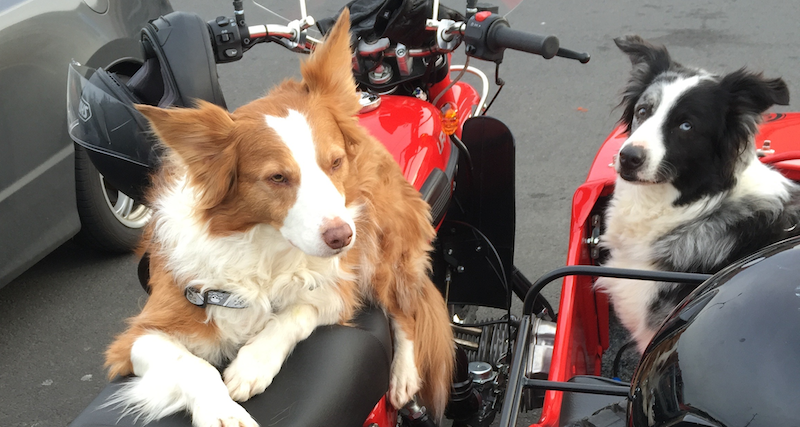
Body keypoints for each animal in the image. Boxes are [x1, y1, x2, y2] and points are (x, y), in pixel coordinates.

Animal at [105, 10, 454, 427]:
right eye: (277, 178)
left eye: (335, 162)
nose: (342, 238)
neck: (263, 249)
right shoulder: (138, 337)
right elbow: (191, 364)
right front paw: (221, 411)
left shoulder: (340, 290)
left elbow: (294, 314)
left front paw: (253, 361)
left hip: (382, 251)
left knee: (405, 310)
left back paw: (403, 373)